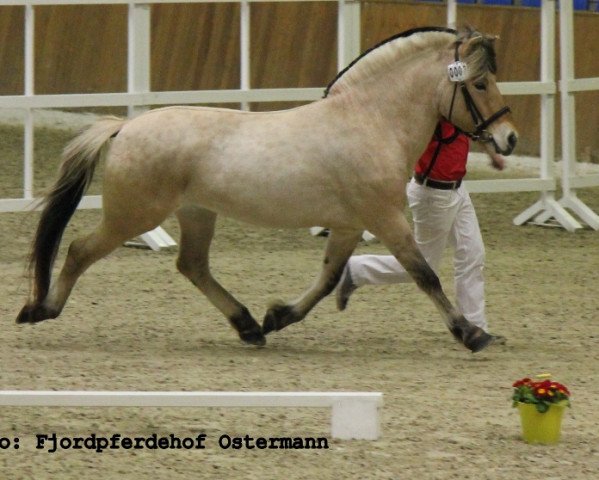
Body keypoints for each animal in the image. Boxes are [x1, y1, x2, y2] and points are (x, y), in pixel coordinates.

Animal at [16, 28, 516, 354]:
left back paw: (249, 327)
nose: (509, 139)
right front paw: (470, 333)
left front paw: (277, 317)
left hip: (196, 213)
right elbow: (424, 274)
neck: (370, 121)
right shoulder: (385, 220)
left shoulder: (350, 225)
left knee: (192, 265)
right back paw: (39, 309)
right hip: (133, 215)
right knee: (80, 249)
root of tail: (125, 126)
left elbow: (329, 278)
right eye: (479, 83)